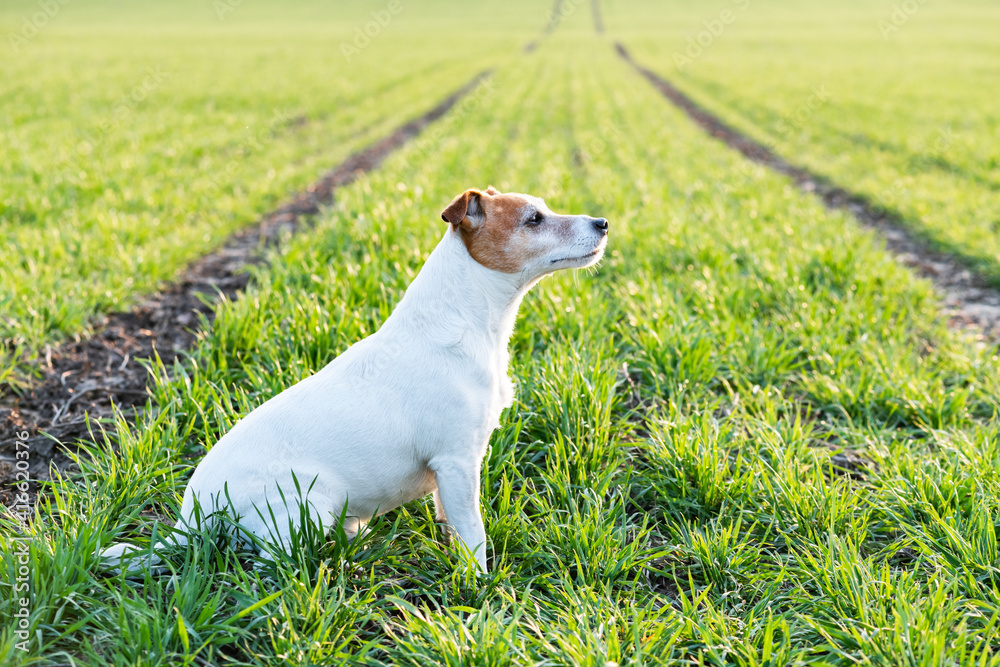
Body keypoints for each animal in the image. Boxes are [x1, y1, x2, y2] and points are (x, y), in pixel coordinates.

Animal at [105, 188, 608, 576]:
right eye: (534, 219)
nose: (603, 222)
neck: (467, 321)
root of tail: (192, 515)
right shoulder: (457, 462)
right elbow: (474, 533)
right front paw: (480, 588)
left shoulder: (450, 475)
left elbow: (451, 525)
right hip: (306, 505)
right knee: (266, 568)